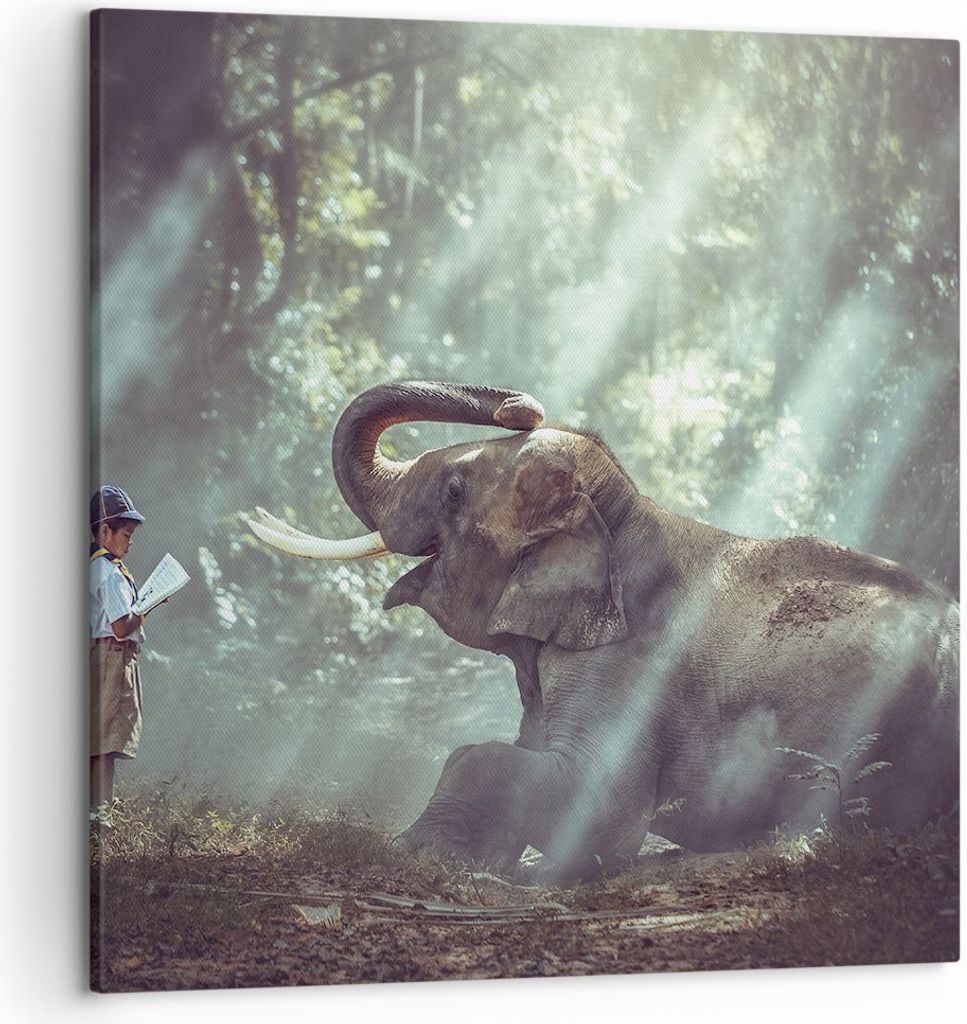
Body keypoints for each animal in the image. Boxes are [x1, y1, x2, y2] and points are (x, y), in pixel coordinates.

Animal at [249, 381, 959, 878]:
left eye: (452, 491)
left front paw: (414, 853)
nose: (520, 408)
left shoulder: (629, 666)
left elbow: (594, 808)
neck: (626, 513)